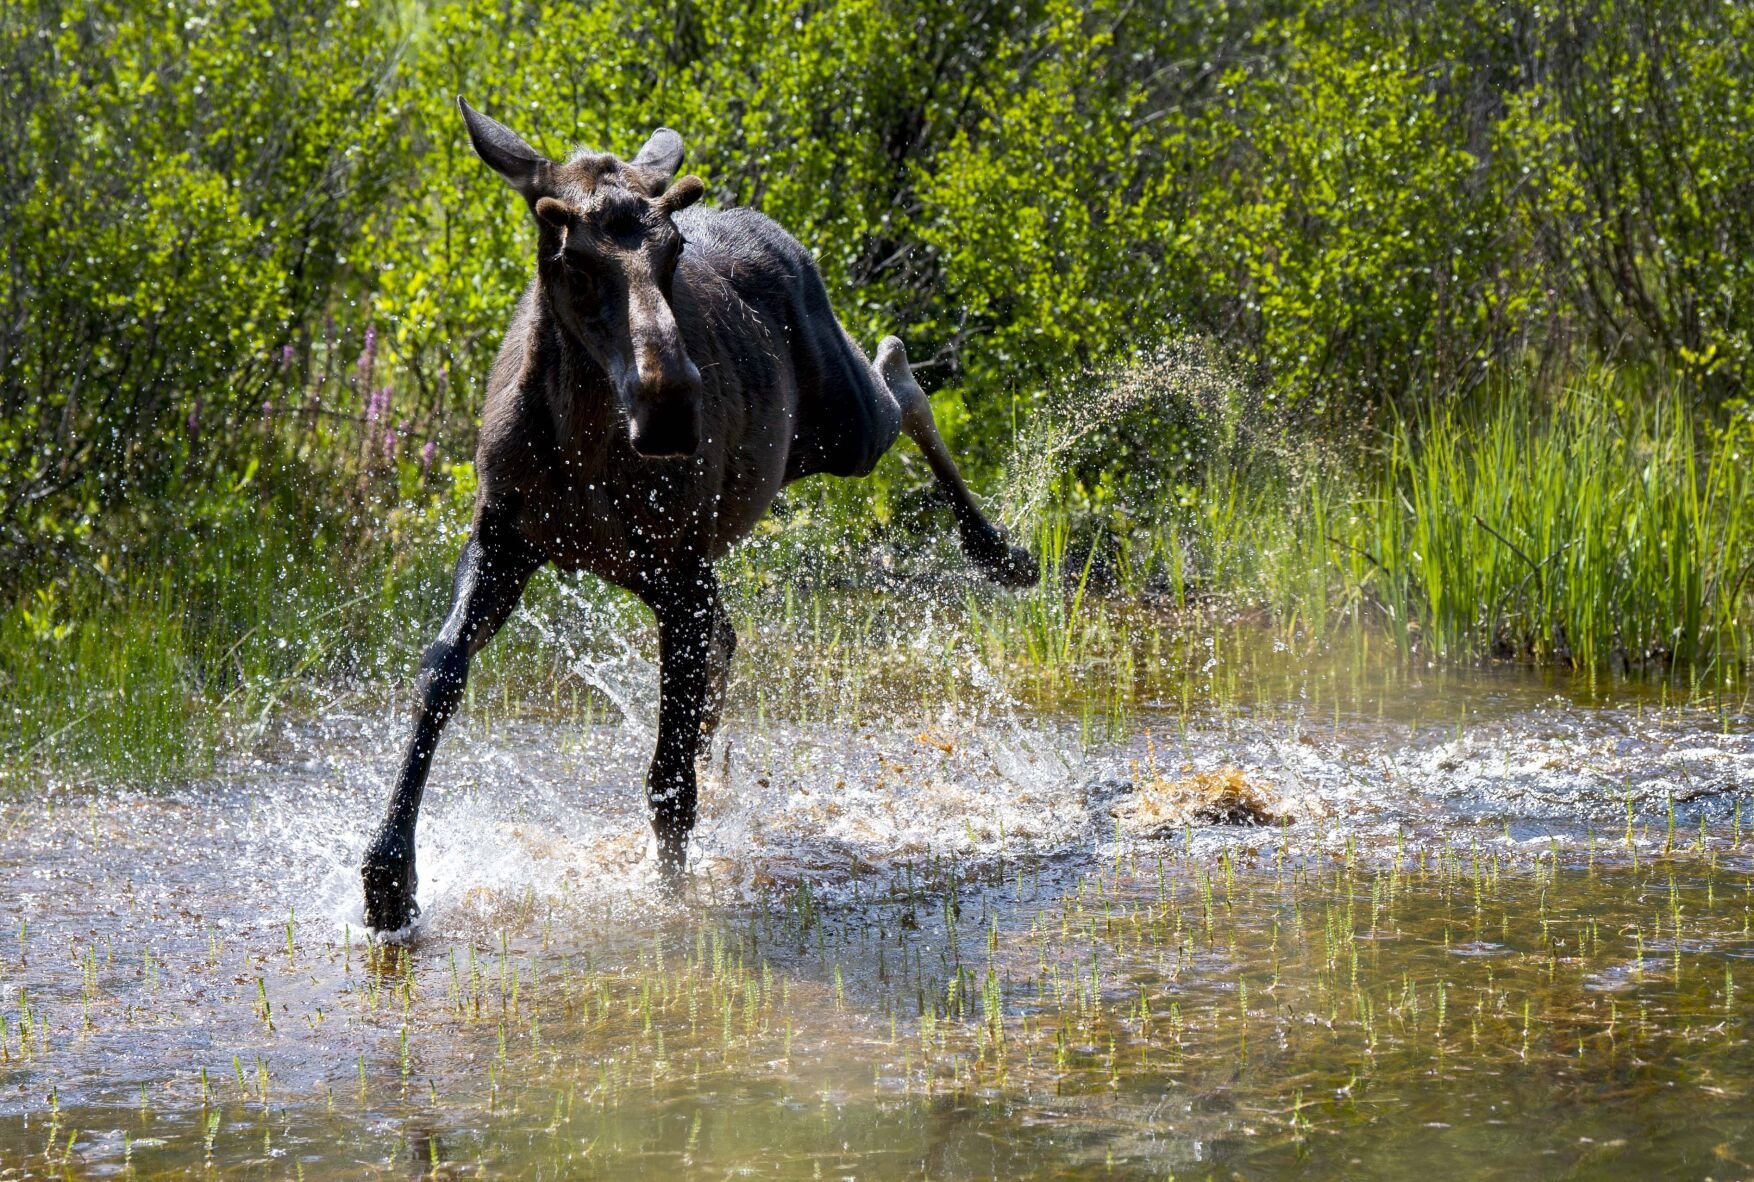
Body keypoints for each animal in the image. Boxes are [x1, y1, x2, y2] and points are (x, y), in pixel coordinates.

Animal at [360, 98, 1035, 933]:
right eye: (572, 261)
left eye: (672, 249)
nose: (672, 402)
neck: (586, 442)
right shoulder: (504, 543)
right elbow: (440, 672)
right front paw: (388, 878)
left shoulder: (674, 570)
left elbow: (665, 779)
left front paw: (672, 902)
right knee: (727, 634)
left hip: (841, 432)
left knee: (901, 375)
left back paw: (1001, 551)